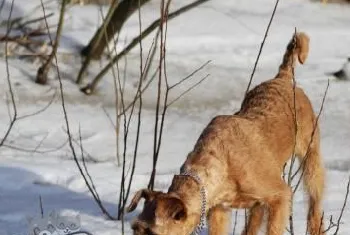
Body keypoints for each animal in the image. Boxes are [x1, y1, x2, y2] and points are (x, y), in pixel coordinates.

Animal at [126, 32, 326, 235]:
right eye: (134, 227)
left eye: (152, 232)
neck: (220, 166)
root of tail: (283, 78)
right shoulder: (218, 211)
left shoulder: (280, 195)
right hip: (260, 202)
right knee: (254, 221)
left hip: (311, 158)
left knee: (315, 202)